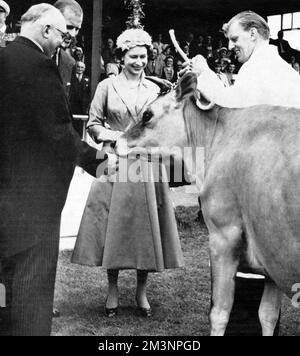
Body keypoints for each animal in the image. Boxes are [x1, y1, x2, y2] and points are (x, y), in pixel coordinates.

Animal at [116, 73, 300, 336]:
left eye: (147, 114)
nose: (115, 142)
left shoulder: (224, 237)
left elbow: (219, 313)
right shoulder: (271, 253)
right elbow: (268, 315)